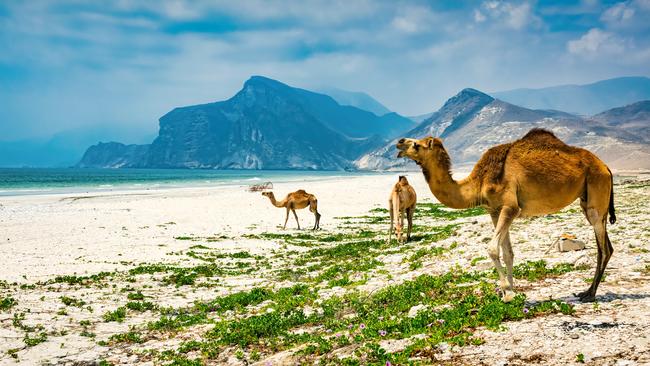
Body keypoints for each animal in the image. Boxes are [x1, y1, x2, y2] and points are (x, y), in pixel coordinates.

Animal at [394, 129, 612, 304]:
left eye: (416, 144)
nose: (399, 142)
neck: (479, 182)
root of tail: (606, 167)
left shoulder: (510, 207)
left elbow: (492, 249)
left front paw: (507, 293)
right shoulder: (494, 211)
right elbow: (508, 253)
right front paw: (513, 291)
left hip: (596, 188)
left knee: (602, 247)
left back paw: (590, 293)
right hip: (586, 198)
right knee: (606, 244)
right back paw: (588, 291)